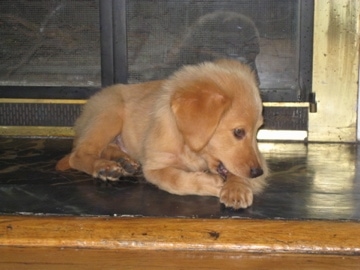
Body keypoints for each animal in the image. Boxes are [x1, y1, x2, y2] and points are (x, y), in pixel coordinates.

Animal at [57, 59, 268, 209]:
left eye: (258, 130)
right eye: (238, 132)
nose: (258, 172)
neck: (187, 146)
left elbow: (235, 173)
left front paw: (237, 188)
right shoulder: (155, 167)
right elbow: (175, 180)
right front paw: (212, 183)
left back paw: (123, 161)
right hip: (109, 113)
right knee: (79, 154)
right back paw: (103, 167)